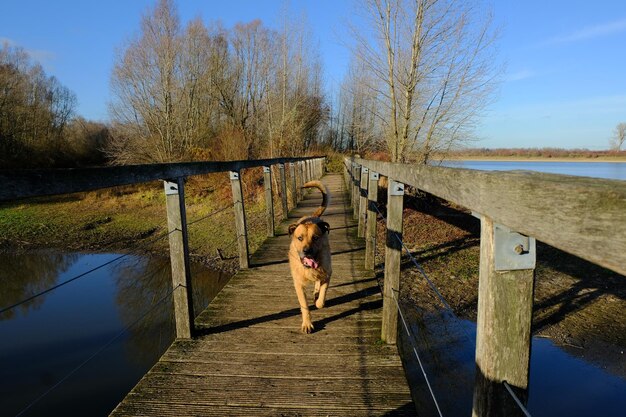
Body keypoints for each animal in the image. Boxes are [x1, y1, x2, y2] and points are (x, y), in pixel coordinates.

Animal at [288, 179, 332, 332]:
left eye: (315, 238)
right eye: (300, 238)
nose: (307, 251)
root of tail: (312, 216)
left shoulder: (327, 273)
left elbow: (323, 293)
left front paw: (319, 300)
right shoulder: (298, 285)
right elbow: (304, 306)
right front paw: (307, 323)